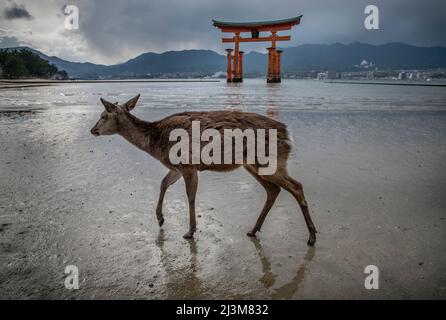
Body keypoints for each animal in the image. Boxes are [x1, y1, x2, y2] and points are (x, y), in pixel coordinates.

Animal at [90, 94, 318, 245]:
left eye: (103, 115)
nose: (92, 130)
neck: (156, 142)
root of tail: (288, 135)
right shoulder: (177, 167)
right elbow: (163, 183)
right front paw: (160, 218)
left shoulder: (188, 165)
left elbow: (190, 196)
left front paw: (190, 231)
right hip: (254, 165)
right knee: (273, 190)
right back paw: (254, 230)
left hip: (271, 162)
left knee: (296, 187)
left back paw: (312, 236)